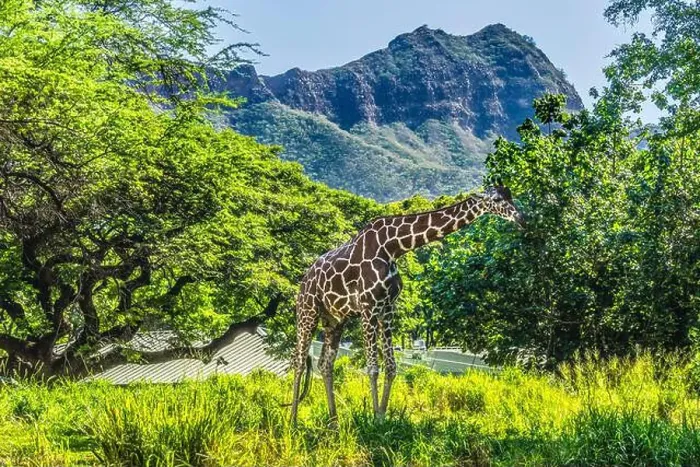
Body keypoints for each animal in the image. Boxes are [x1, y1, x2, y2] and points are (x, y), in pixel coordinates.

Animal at [289, 185, 524, 425]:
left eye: (511, 195)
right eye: (497, 199)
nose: (521, 219)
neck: (393, 247)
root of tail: (304, 280)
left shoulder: (387, 308)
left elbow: (391, 367)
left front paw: (381, 418)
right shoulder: (368, 307)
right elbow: (373, 368)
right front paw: (373, 420)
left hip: (334, 320)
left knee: (325, 364)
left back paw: (334, 423)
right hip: (308, 311)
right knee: (298, 360)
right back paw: (293, 421)